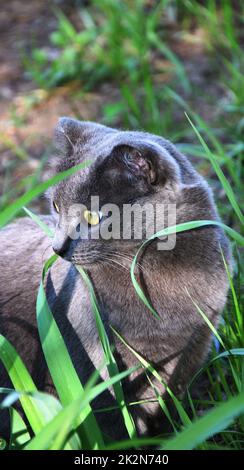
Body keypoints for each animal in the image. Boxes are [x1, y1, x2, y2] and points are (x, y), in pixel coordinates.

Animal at [0, 118, 232, 440]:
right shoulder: (92, 362)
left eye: (93, 217)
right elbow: (110, 425)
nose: (57, 248)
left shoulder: (194, 346)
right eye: (56, 207)